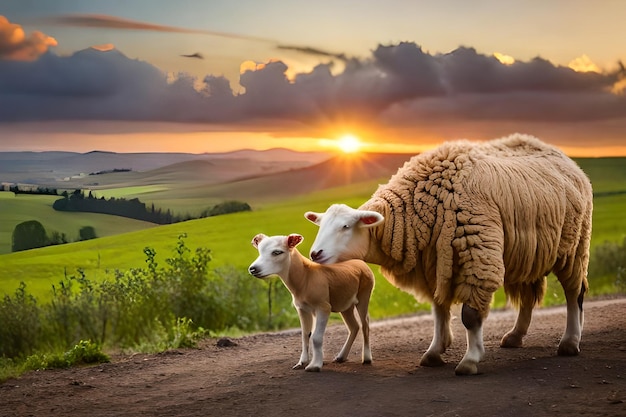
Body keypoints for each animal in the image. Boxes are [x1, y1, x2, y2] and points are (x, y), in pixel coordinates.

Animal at [247, 232, 376, 372]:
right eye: (259, 251)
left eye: (277, 252)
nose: (253, 269)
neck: (305, 277)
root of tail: (360, 262)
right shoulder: (302, 308)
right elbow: (305, 335)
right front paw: (302, 362)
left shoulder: (323, 307)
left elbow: (316, 337)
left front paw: (315, 365)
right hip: (345, 302)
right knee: (354, 326)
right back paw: (341, 357)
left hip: (365, 294)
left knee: (365, 324)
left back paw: (367, 358)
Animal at [304, 133, 592, 374]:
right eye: (321, 225)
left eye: (345, 227)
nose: (315, 254)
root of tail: (561, 155)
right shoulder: (431, 264)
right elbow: (439, 310)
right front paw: (434, 352)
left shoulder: (477, 257)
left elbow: (470, 316)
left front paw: (470, 360)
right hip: (528, 252)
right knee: (529, 296)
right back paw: (515, 336)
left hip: (574, 246)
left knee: (574, 292)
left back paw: (570, 341)